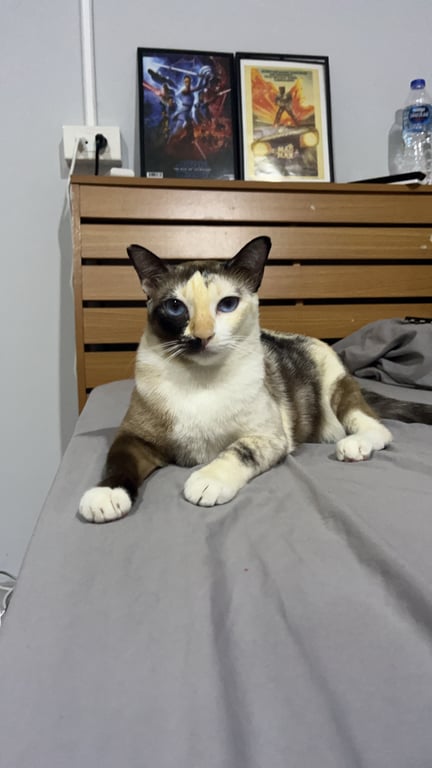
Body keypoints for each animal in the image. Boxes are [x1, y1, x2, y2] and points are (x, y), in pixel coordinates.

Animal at [79, 236, 432, 523]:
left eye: (227, 305)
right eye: (176, 307)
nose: (202, 336)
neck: (200, 381)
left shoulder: (268, 437)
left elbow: (237, 450)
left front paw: (206, 482)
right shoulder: (135, 437)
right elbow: (119, 462)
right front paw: (106, 496)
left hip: (335, 390)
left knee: (375, 426)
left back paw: (354, 445)